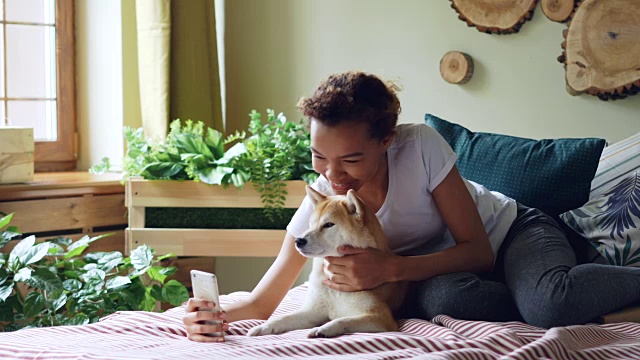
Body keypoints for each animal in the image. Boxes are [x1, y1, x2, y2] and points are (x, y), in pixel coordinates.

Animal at [249, 186, 404, 338]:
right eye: (311, 224)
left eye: (329, 224)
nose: (298, 240)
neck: (334, 289)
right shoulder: (313, 312)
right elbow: (284, 318)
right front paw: (263, 327)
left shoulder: (381, 317)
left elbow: (342, 320)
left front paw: (323, 329)